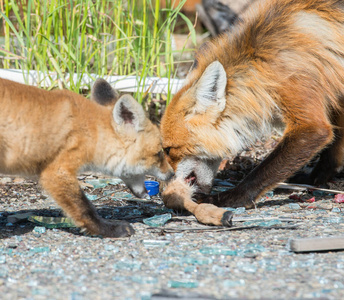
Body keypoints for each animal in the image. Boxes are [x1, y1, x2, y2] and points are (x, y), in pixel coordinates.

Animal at [0, 77, 172, 237]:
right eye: (159, 153)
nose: (171, 174)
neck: (91, 132)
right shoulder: (56, 172)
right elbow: (84, 208)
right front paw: (107, 229)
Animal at [161, 0, 344, 209]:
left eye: (168, 149)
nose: (162, 187)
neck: (262, 62)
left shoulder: (308, 116)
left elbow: (260, 174)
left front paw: (229, 198)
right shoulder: (335, 92)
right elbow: (334, 149)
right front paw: (318, 177)